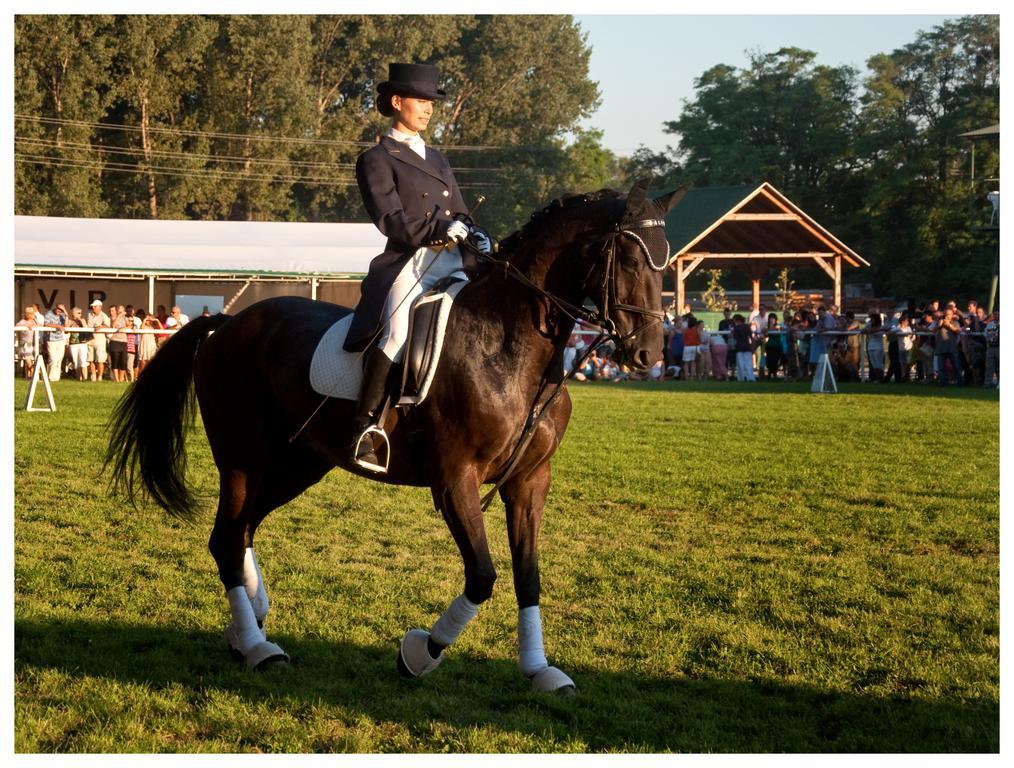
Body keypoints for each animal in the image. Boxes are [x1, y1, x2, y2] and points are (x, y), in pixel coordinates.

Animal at [106, 181, 685, 693]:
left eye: (665, 261)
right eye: (630, 260)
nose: (647, 355)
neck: (509, 346)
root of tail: (226, 322)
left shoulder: (528, 482)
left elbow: (527, 575)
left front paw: (539, 670)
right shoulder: (455, 481)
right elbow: (482, 575)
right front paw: (420, 653)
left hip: (299, 463)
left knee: (242, 531)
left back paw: (246, 624)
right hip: (242, 458)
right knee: (227, 538)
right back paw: (257, 646)